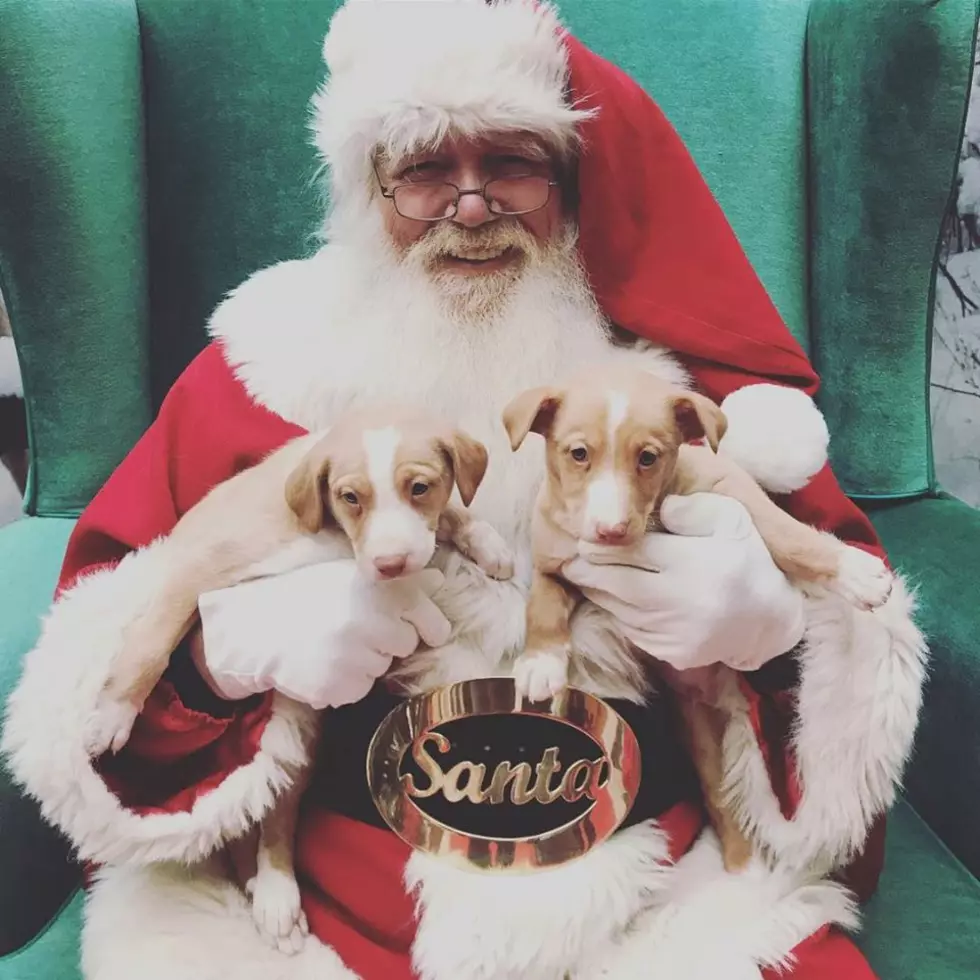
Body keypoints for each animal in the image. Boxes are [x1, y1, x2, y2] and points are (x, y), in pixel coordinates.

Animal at [83, 402, 512, 952]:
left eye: (420, 487)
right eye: (350, 498)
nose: (390, 564)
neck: (331, 538)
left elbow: (449, 516)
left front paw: (487, 542)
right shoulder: (197, 569)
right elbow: (152, 643)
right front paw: (114, 712)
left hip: (297, 726)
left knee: (275, 815)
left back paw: (274, 895)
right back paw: (270, 893)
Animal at [502, 366, 892, 872]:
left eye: (648, 457)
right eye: (579, 454)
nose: (609, 531)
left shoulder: (733, 492)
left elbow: (787, 536)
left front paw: (855, 571)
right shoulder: (557, 561)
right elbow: (544, 603)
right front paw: (541, 662)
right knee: (721, 796)